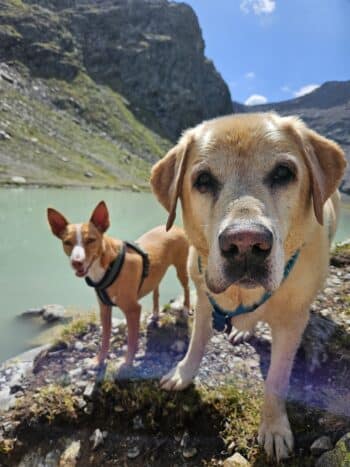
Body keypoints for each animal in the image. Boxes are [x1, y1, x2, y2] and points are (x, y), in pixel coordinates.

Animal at [47, 203, 190, 372]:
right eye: (67, 242)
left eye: (90, 240)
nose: (77, 262)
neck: (108, 265)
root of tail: (174, 227)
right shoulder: (104, 308)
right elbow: (105, 338)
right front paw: (98, 361)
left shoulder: (133, 310)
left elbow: (132, 341)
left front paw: (127, 363)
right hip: (156, 273)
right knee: (156, 290)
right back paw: (155, 314)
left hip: (181, 269)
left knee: (187, 287)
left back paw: (186, 308)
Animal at [150, 112, 344, 460]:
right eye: (202, 180)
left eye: (284, 173)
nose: (245, 245)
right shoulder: (203, 299)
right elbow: (196, 343)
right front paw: (183, 373)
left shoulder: (291, 323)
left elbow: (277, 380)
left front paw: (274, 428)